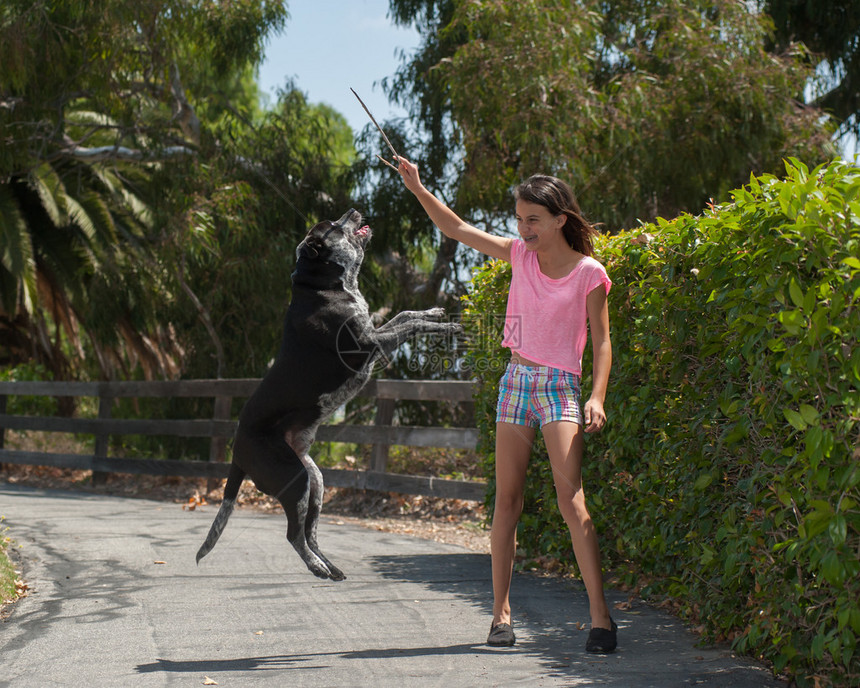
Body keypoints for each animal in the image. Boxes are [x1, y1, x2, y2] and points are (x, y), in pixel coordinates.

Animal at [197, 210, 460, 580]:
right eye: (333, 226)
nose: (353, 211)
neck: (322, 286)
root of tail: (237, 454)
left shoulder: (375, 332)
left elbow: (406, 315)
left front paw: (435, 313)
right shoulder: (370, 344)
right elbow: (410, 326)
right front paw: (446, 326)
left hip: (315, 482)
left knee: (310, 534)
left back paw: (331, 568)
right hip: (295, 483)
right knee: (294, 535)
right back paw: (318, 568)